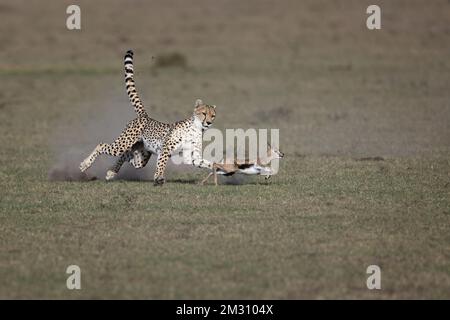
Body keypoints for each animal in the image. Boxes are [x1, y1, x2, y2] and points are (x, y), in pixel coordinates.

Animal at [81, 50, 218, 185]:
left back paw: (111, 172)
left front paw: (219, 168)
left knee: (126, 155)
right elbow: (161, 164)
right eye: (204, 113)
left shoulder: (192, 157)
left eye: (213, 115)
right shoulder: (165, 149)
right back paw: (85, 164)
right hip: (123, 143)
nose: (209, 122)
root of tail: (144, 115)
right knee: (102, 145)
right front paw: (158, 177)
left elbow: (207, 163)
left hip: (140, 157)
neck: (197, 128)